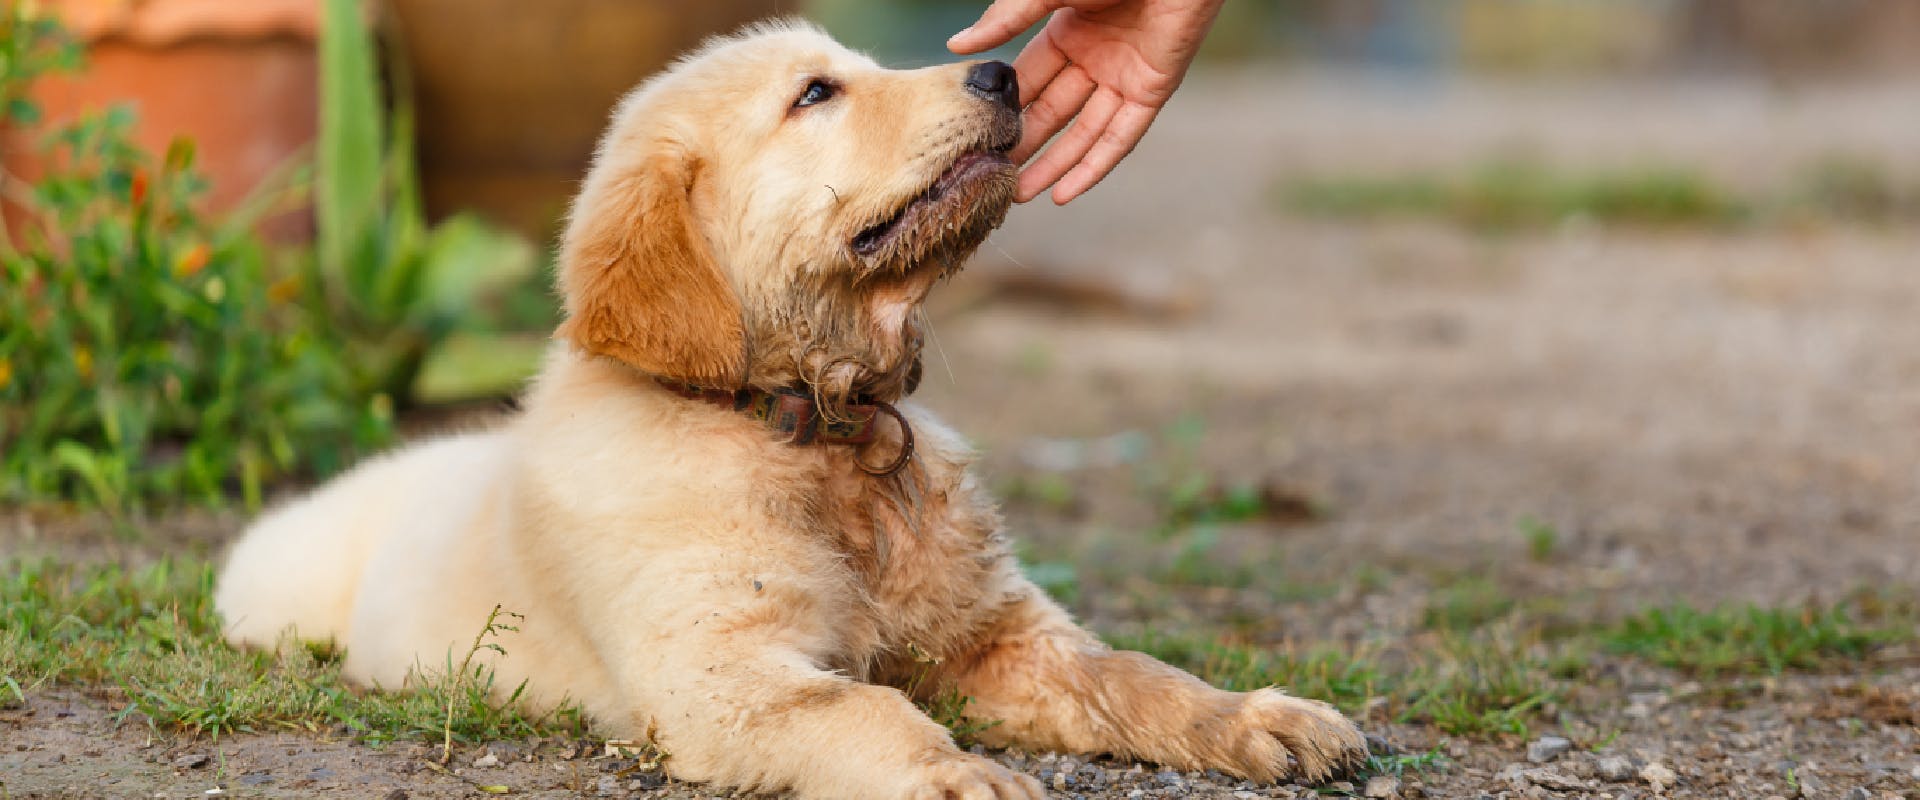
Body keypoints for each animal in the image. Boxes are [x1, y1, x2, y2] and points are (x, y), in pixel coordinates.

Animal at [217, 20, 1367, 798]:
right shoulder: (717, 672)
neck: (819, 421)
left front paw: (1259, 718)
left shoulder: (996, 632)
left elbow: (1128, 672)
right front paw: (957, 774)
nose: (1002, 70)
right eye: (816, 94)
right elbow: (862, 706)